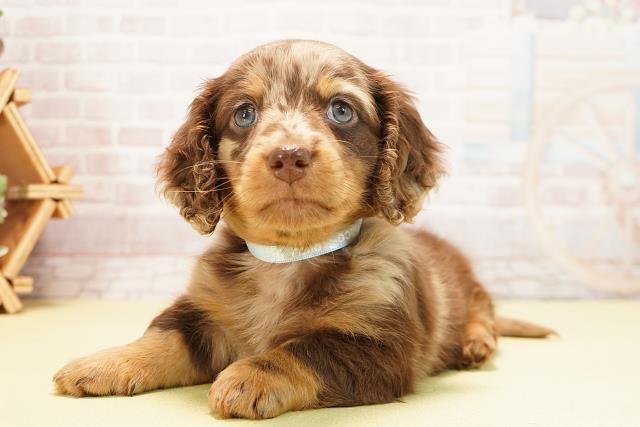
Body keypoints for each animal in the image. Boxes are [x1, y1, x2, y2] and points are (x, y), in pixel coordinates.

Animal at [54, 40, 553, 419]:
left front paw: (249, 376)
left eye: (341, 110)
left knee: (484, 314)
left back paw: (474, 343)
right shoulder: (203, 310)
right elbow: (164, 337)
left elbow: (303, 349)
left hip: (469, 290)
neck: (288, 257)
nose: (289, 155)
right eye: (244, 114)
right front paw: (106, 362)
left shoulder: (379, 344)